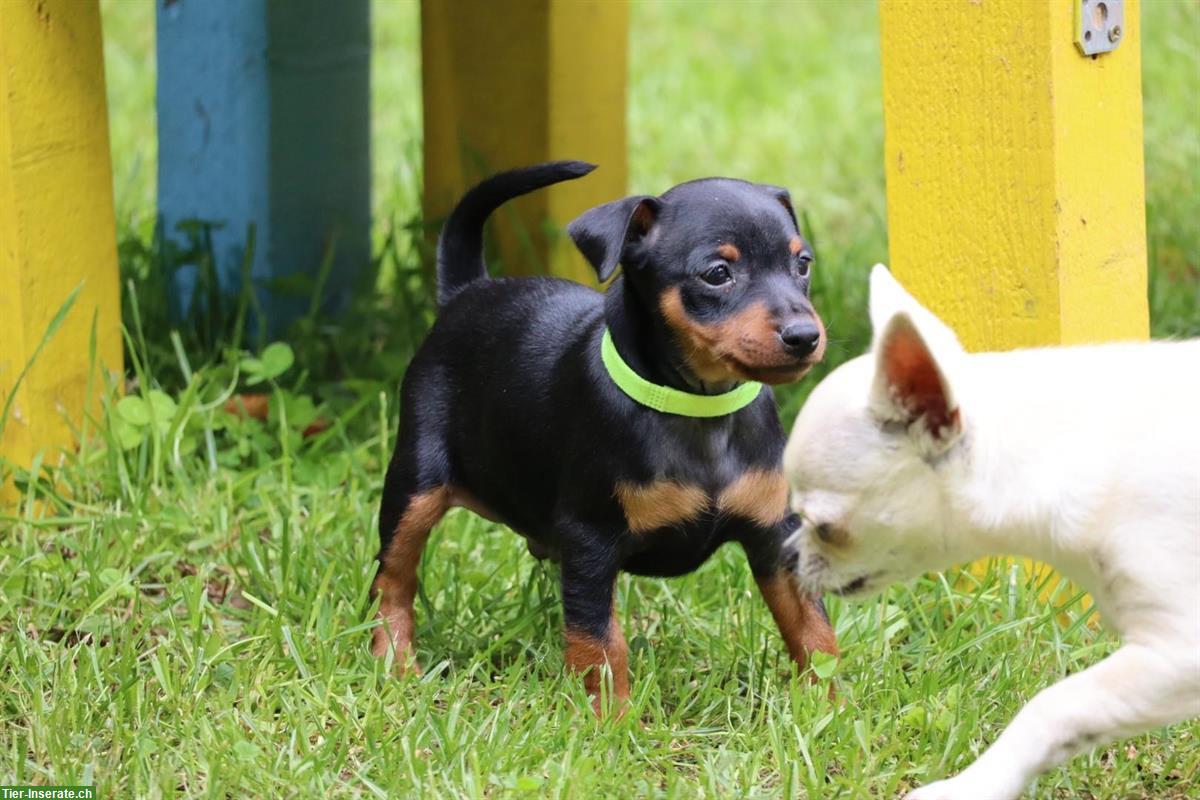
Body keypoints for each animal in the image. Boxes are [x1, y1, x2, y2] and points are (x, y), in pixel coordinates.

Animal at [372, 159, 835, 710]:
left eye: (802, 264)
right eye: (717, 274)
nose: (805, 337)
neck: (699, 406)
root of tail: (467, 291)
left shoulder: (776, 535)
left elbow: (814, 629)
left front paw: (834, 707)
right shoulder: (591, 542)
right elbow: (599, 642)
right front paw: (611, 719)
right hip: (414, 483)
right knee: (392, 578)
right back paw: (395, 665)